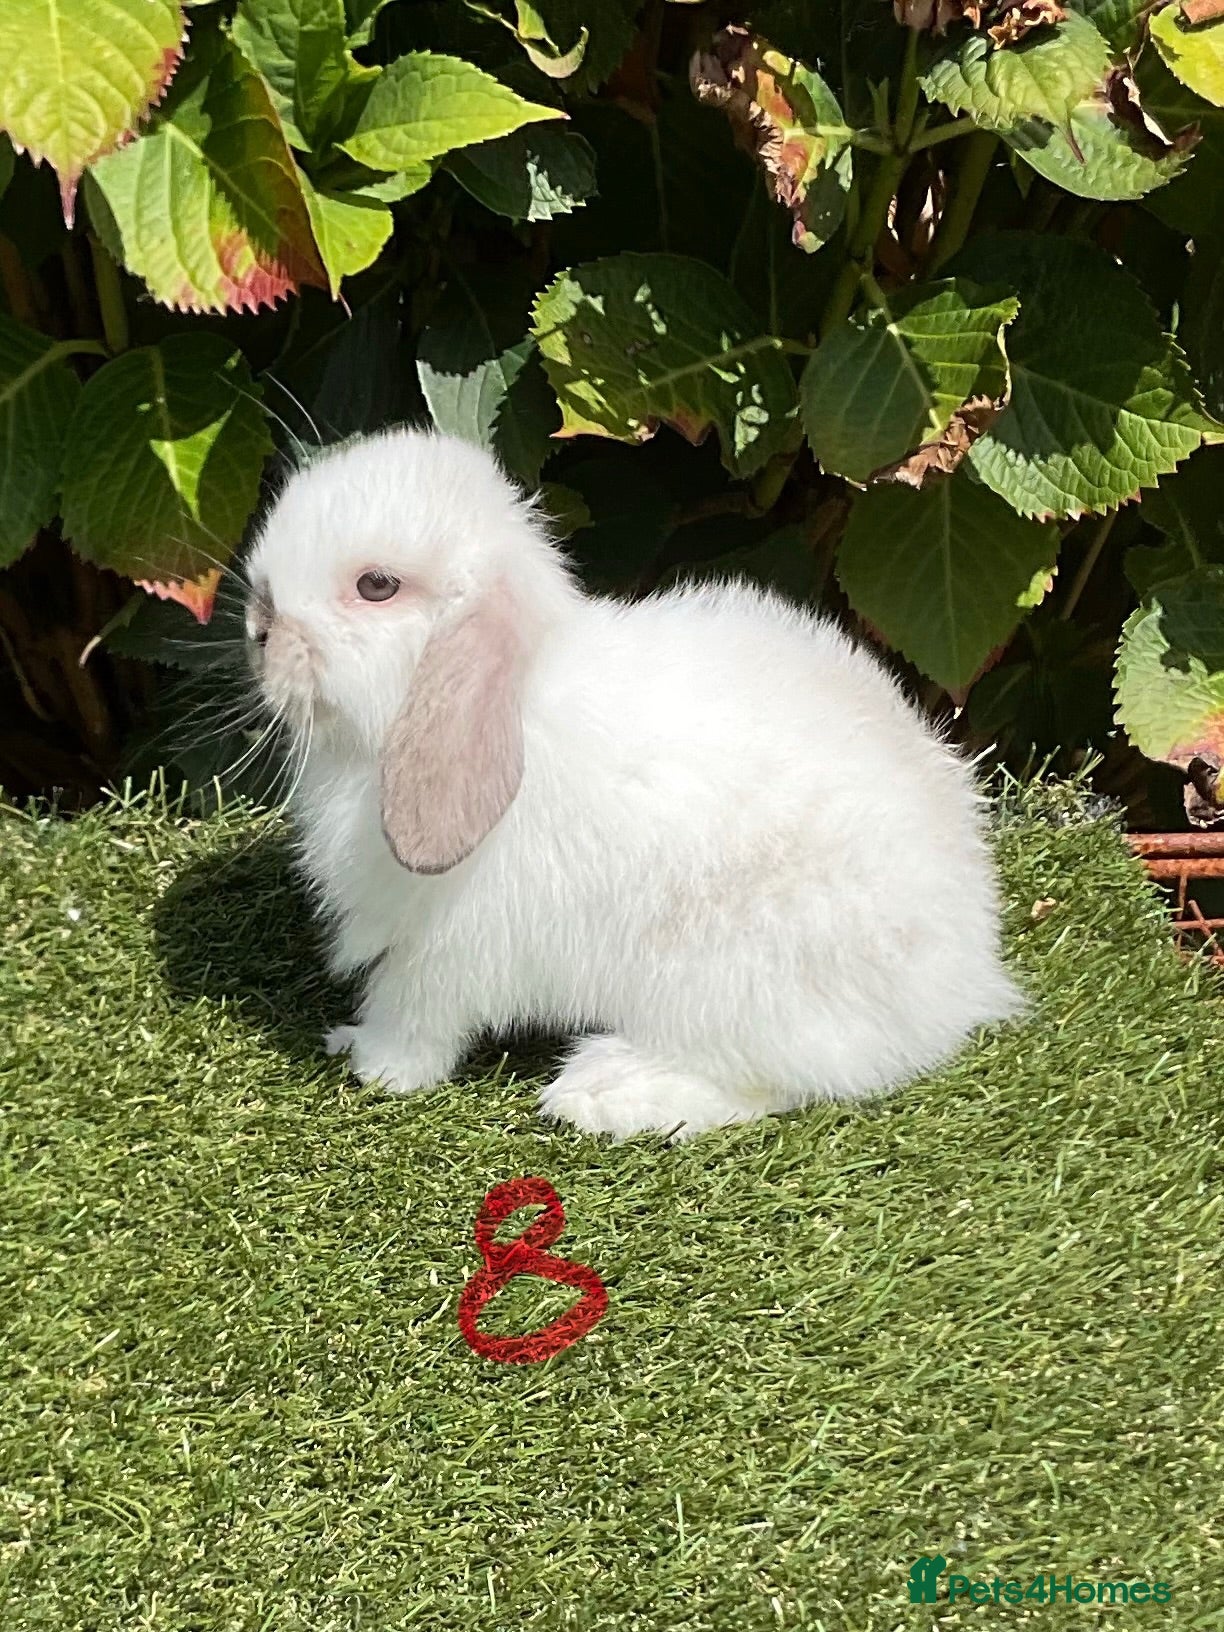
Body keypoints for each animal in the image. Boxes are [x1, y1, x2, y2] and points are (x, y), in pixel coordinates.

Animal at [244, 427, 1022, 1140]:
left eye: (376, 586)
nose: (259, 624)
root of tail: (964, 979)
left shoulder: (449, 945)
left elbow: (413, 1014)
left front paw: (372, 1064)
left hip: (727, 979)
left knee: (776, 1078)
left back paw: (604, 1091)